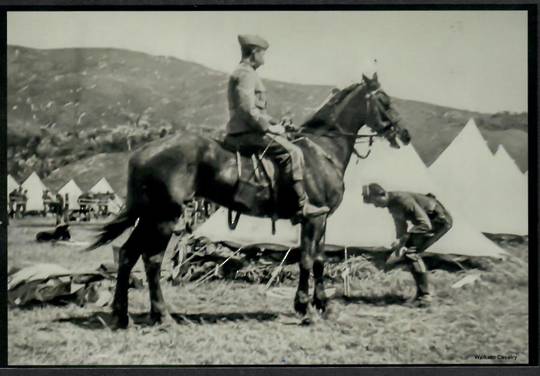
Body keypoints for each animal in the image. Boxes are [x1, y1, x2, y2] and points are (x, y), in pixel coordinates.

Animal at [86, 72, 412, 328]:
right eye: (384, 100)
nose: (405, 134)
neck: (321, 150)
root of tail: (142, 151)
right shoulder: (313, 218)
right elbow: (308, 260)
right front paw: (306, 309)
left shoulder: (321, 220)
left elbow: (318, 260)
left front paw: (323, 305)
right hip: (164, 217)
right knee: (151, 260)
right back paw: (162, 316)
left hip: (150, 216)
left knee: (127, 255)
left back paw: (122, 315)